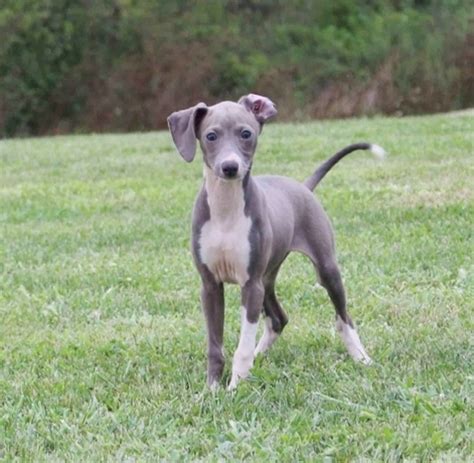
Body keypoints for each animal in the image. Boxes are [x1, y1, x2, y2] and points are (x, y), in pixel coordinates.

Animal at [166, 95, 382, 392]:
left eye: (246, 134)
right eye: (210, 136)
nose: (230, 167)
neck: (225, 211)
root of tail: (303, 186)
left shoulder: (250, 285)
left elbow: (242, 345)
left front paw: (235, 388)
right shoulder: (210, 285)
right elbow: (215, 345)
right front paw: (212, 389)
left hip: (323, 269)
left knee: (343, 318)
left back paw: (361, 357)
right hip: (267, 278)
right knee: (279, 318)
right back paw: (260, 356)